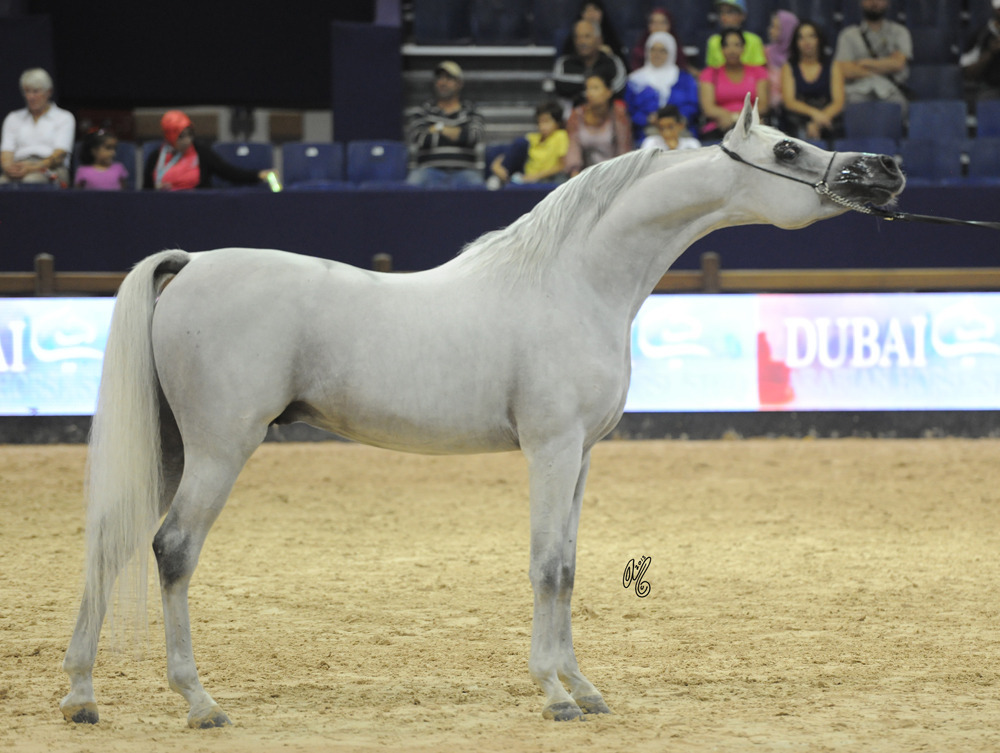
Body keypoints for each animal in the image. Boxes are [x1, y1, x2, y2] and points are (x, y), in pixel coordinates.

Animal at [60, 98, 904, 727]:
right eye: (789, 147)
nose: (887, 170)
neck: (573, 282)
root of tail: (190, 264)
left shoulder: (582, 455)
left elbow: (570, 564)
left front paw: (583, 686)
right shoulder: (551, 448)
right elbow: (547, 564)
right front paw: (555, 693)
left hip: (171, 446)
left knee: (112, 542)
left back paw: (80, 695)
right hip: (219, 447)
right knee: (171, 549)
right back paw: (198, 700)